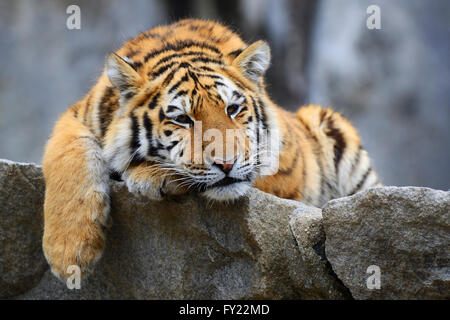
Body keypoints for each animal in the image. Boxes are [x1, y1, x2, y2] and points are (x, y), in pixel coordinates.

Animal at [41, 19, 380, 280]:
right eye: (182, 119)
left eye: (233, 109)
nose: (227, 164)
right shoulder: (75, 116)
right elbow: (65, 157)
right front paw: (69, 253)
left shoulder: (283, 171)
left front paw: (151, 175)